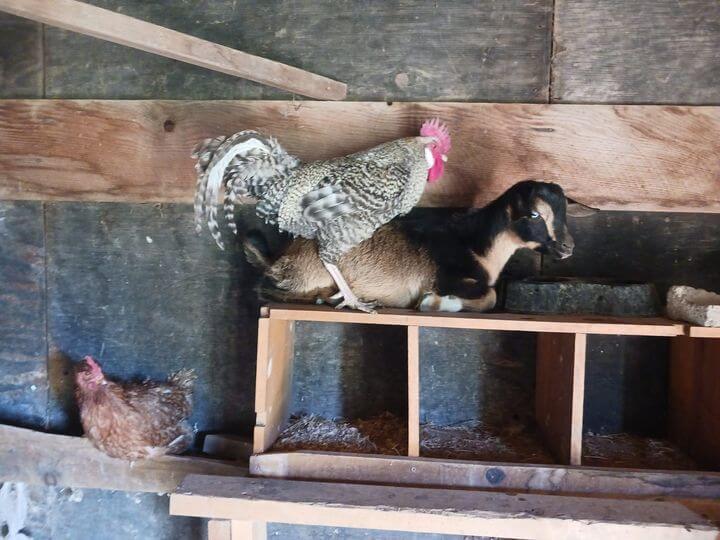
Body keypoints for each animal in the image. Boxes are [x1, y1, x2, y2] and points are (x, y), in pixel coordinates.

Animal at [244, 180, 594, 312]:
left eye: (564, 211)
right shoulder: (446, 277)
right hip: (310, 274)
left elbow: (493, 294)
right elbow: (491, 296)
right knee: (264, 289)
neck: (477, 247)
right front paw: (436, 303)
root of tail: (279, 258)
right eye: (535, 214)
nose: (568, 247)